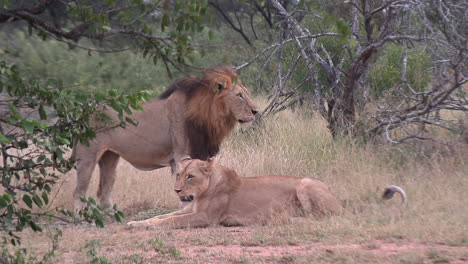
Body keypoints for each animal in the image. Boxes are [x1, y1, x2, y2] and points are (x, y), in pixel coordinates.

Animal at [72, 66, 258, 210]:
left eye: (246, 93)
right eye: (239, 95)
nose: (256, 111)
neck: (208, 116)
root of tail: (83, 111)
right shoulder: (181, 154)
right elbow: (183, 186)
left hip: (110, 156)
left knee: (104, 189)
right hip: (87, 156)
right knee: (79, 191)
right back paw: (79, 217)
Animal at [126, 158, 342, 228]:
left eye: (191, 176)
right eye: (178, 175)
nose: (176, 190)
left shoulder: (206, 217)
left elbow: (171, 220)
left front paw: (144, 226)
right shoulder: (189, 209)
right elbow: (162, 216)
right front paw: (136, 223)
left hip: (305, 183)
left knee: (320, 217)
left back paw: (280, 219)